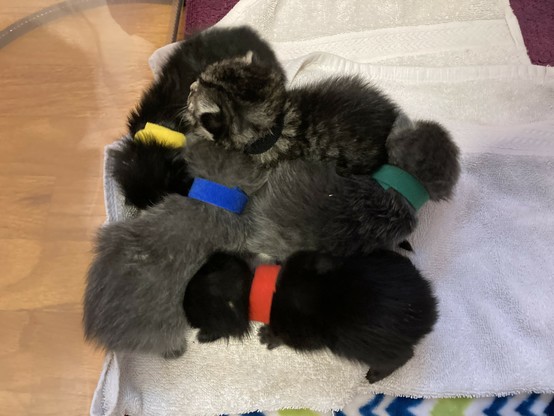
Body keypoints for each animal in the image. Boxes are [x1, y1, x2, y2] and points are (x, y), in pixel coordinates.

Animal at [184, 250, 436, 384]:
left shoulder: (301, 335)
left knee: (404, 356)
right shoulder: (306, 259)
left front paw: (268, 335)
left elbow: (284, 336)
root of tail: (427, 313)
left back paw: (376, 373)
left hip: (365, 347)